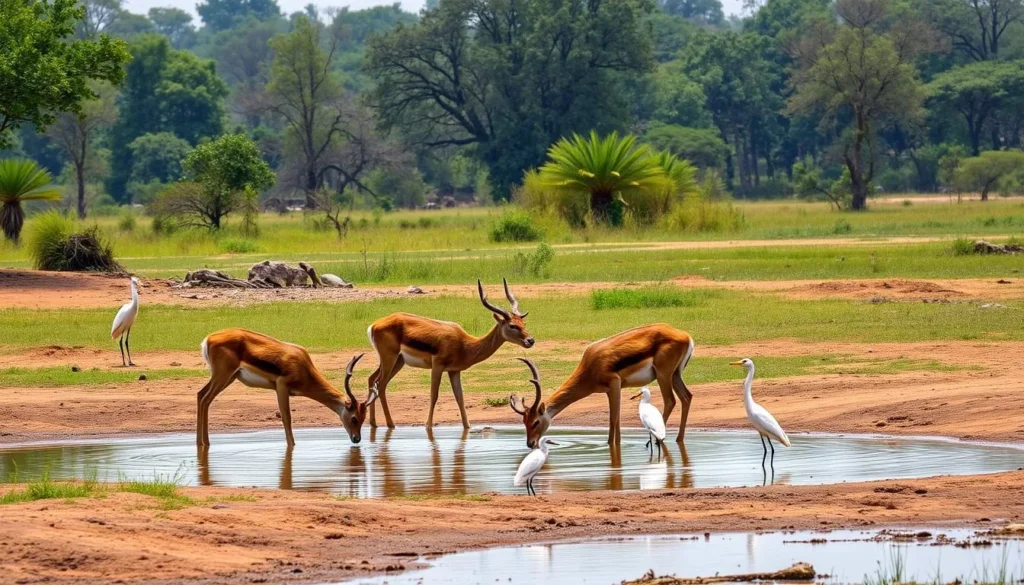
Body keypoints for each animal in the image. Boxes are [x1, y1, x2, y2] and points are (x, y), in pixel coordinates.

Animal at [196, 328, 378, 447]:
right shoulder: (282, 387)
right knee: (205, 399)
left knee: (200, 395)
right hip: (223, 376)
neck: (304, 367)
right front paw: (292, 446)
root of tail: (208, 339)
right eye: (354, 418)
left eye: (363, 418)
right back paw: (205, 443)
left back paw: (201, 443)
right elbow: (287, 418)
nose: (357, 439)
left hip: (228, 377)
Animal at [366, 278, 534, 430]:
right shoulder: (437, 366)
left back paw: (373, 423)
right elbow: (434, 395)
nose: (530, 340)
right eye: (512, 325)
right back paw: (391, 424)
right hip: (389, 358)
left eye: (523, 324)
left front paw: (467, 427)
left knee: (372, 380)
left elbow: (460, 398)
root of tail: (374, 325)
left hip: (397, 361)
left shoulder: (454, 371)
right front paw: (428, 426)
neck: (465, 344)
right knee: (381, 385)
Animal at [510, 324, 694, 448]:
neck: (590, 366)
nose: (530, 443)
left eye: (535, 422)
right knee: (686, 397)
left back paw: (658, 440)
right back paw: (678, 439)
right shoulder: (608, 390)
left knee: (670, 401)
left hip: (664, 375)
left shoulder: (614, 384)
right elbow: (614, 420)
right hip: (675, 375)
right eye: (524, 421)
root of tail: (686, 336)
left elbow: (614, 419)